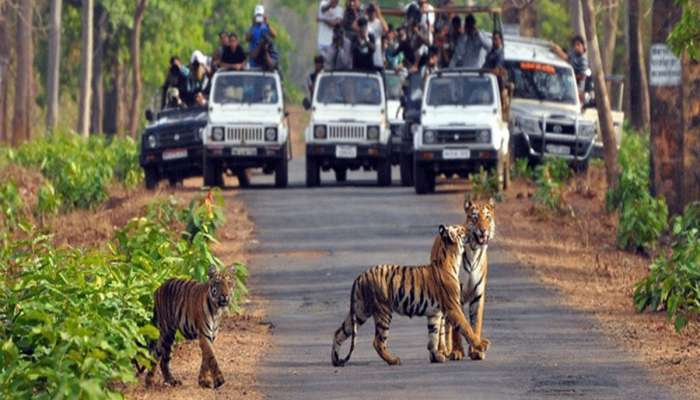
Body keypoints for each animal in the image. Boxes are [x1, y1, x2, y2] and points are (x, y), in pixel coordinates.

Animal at [330, 223, 490, 368]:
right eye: (462, 229)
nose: (471, 229)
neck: (451, 258)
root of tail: (361, 276)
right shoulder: (453, 307)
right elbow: (466, 327)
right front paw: (481, 345)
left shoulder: (435, 313)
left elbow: (433, 336)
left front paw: (436, 357)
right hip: (383, 311)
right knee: (378, 342)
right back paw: (393, 360)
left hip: (360, 311)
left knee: (339, 332)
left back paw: (336, 360)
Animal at [440, 198, 494, 360]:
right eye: (475, 218)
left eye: (487, 217)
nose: (483, 230)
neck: (474, 251)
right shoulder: (456, 295)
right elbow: (458, 327)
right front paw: (457, 351)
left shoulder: (478, 295)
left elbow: (475, 324)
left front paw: (476, 351)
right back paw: (446, 350)